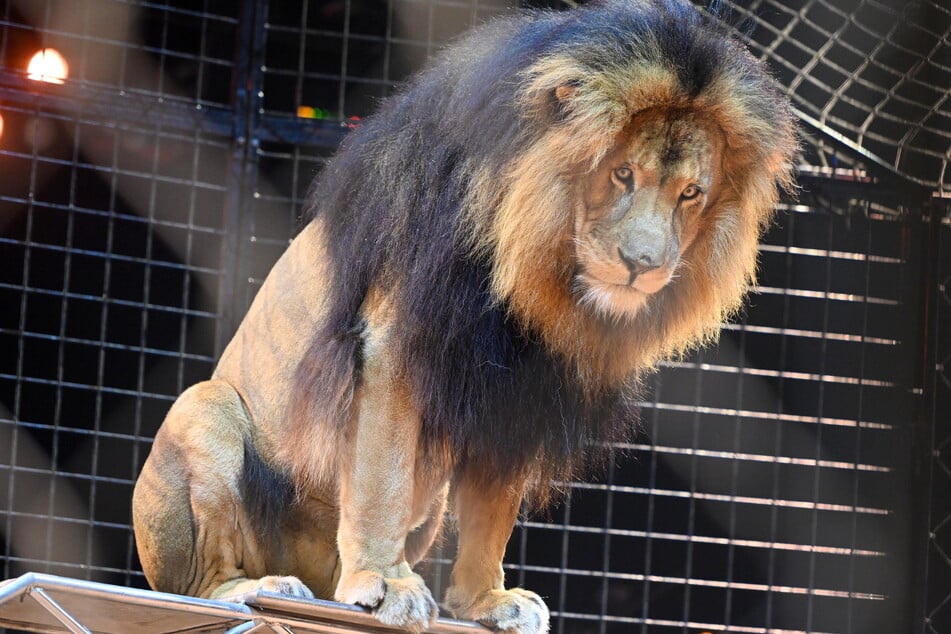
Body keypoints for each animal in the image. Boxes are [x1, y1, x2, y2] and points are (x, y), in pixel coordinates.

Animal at [130, 2, 800, 628]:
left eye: (690, 193)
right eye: (622, 173)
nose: (643, 264)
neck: (531, 267)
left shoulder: (519, 388)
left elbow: (492, 513)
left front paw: (486, 600)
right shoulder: (395, 343)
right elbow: (380, 481)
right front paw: (385, 582)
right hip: (204, 412)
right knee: (202, 581)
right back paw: (266, 587)